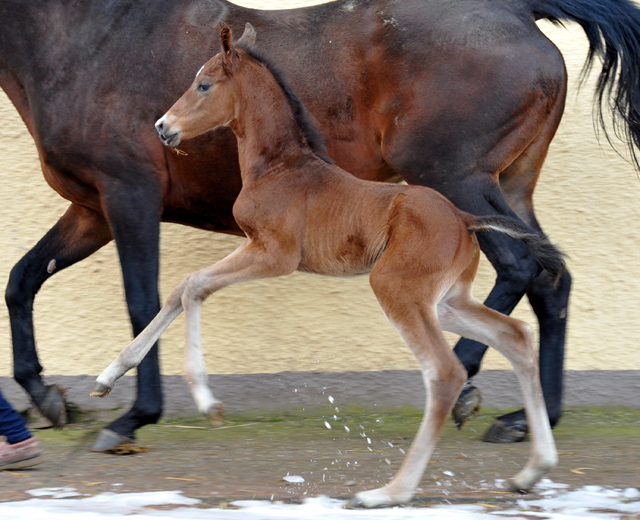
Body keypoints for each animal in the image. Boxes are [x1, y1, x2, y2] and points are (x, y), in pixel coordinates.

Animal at [92, 24, 564, 508]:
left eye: (203, 84)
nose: (163, 127)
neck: (278, 167)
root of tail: (465, 219)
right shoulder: (258, 249)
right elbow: (181, 288)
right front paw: (108, 376)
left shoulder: (274, 254)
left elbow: (193, 287)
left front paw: (207, 402)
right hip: (447, 302)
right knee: (516, 337)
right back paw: (531, 471)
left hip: (396, 288)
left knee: (446, 373)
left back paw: (389, 492)